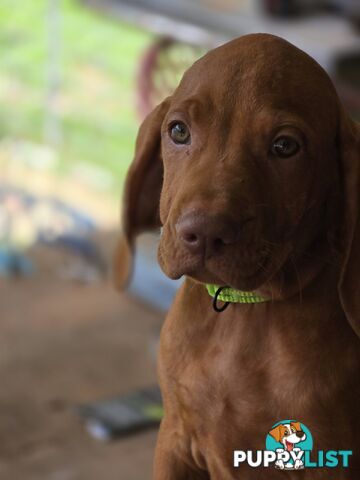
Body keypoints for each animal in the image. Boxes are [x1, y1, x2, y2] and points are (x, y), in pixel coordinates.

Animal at [116, 34, 360, 480]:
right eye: (178, 131)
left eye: (285, 146)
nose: (204, 234)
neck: (245, 313)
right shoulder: (175, 440)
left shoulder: (331, 460)